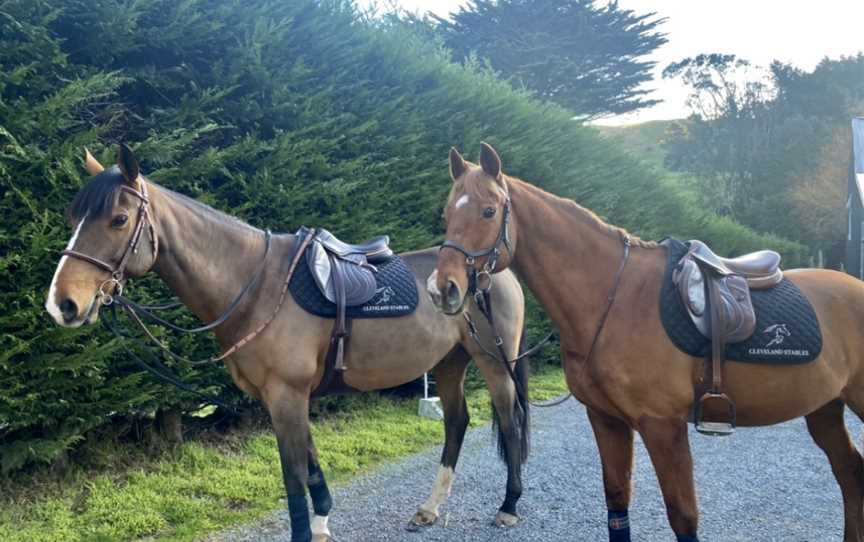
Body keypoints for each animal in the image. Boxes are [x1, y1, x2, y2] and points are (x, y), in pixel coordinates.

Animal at [49, 146, 532, 542]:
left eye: (118, 219)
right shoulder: (282, 397)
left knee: (509, 423)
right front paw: (322, 524)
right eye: (74, 220)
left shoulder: (287, 393)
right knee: (456, 423)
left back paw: (509, 506)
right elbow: (311, 465)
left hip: (493, 361)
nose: (63, 304)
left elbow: (294, 476)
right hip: (450, 363)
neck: (256, 286)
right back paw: (429, 509)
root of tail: (493, 268)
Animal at [432, 142, 864, 542]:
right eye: (447, 214)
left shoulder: (662, 426)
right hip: (824, 407)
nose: (443, 289)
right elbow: (617, 501)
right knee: (849, 473)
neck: (614, 297)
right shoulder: (605, 420)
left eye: (489, 211)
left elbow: (683, 517)